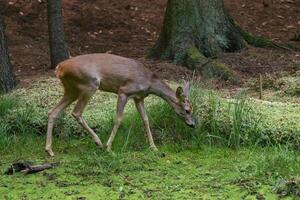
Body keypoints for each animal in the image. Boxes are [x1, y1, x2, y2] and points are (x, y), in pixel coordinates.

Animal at [44, 53, 195, 156]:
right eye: (187, 110)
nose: (193, 124)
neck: (149, 82)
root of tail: (59, 68)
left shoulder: (139, 98)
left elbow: (145, 120)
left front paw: (154, 147)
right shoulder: (124, 91)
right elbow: (118, 119)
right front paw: (109, 147)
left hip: (71, 89)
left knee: (53, 111)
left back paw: (49, 150)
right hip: (89, 84)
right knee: (76, 112)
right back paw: (98, 142)